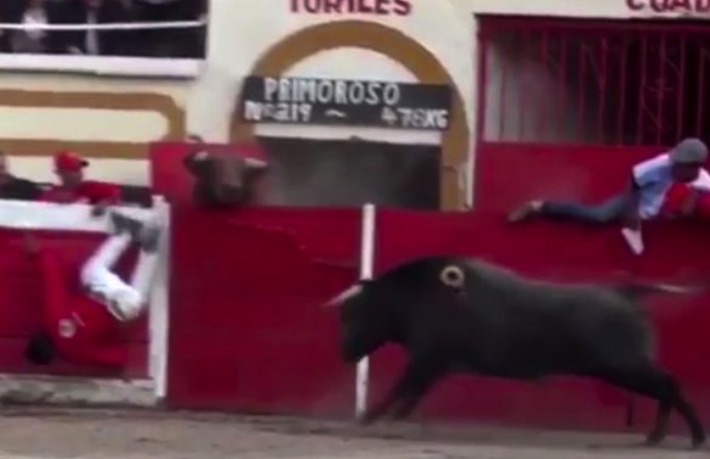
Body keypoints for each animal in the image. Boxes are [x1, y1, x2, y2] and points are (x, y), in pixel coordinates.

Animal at [326, 256, 708, 452]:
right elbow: (410, 394)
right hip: (625, 367)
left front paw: (370, 419)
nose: (344, 353)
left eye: (352, 313)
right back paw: (664, 437)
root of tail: (624, 292)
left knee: (669, 385)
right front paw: (388, 419)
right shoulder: (432, 364)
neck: (410, 297)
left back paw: (686, 437)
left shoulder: (426, 359)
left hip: (624, 366)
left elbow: (400, 389)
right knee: (667, 388)